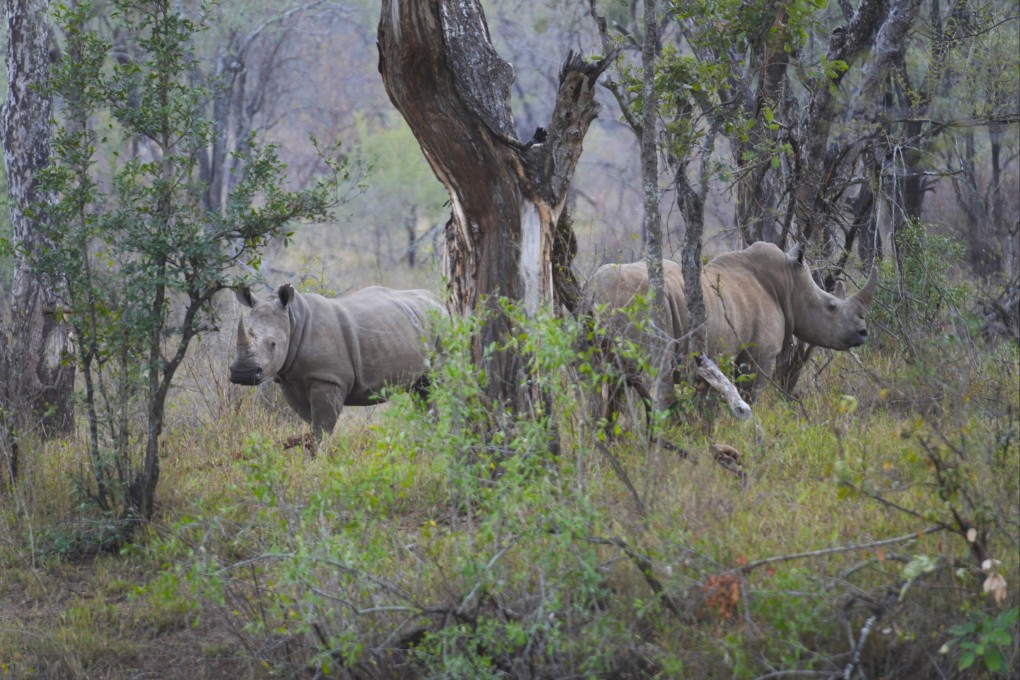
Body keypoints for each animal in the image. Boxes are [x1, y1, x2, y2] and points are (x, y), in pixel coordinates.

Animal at [231, 283, 446, 438]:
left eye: (273, 344)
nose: (243, 373)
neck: (293, 320)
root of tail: (438, 301)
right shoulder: (287, 379)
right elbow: (310, 422)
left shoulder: (328, 379)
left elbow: (322, 428)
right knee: (422, 391)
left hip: (442, 324)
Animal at [583, 241, 877, 403]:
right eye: (832, 307)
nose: (863, 333)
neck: (789, 283)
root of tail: (595, 290)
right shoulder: (759, 356)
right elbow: (750, 396)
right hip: (637, 304)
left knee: (595, 383)